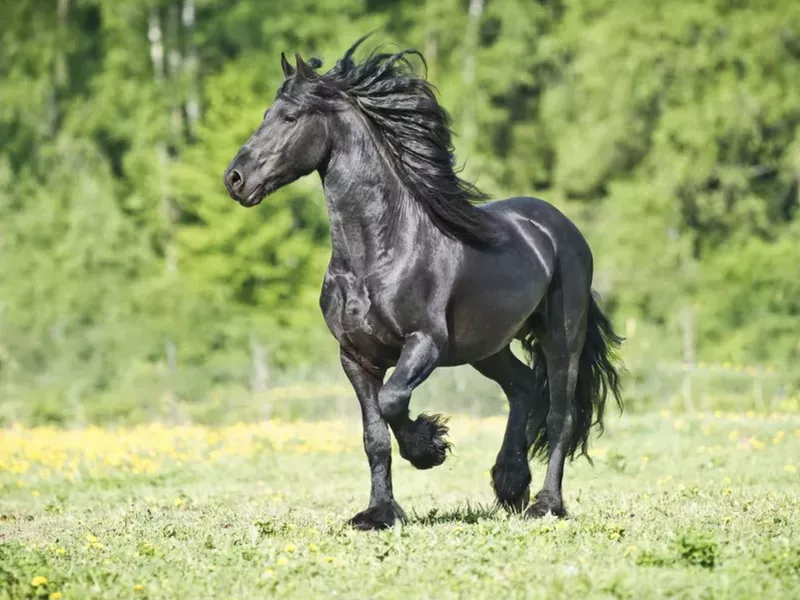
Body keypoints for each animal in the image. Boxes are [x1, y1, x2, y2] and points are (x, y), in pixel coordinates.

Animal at [225, 36, 624, 528]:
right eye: (267, 113)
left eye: (290, 117)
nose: (235, 179)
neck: (378, 254)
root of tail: (561, 228)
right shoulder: (355, 357)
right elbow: (374, 435)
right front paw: (378, 513)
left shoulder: (425, 343)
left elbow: (394, 400)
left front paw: (428, 448)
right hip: (487, 346)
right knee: (522, 386)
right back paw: (510, 483)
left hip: (561, 337)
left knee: (559, 416)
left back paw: (545, 503)